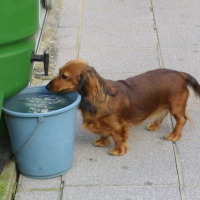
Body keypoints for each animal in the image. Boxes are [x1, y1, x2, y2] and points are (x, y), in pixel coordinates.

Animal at [46, 58, 200, 155]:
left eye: (64, 76)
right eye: (59, 72)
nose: (46, 87)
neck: (99, 97)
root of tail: (179, 73)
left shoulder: (117, 125)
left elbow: (118, 138)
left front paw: (118, 151)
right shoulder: (102, 123)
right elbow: (104, 132)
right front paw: (102, 142)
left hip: (176, 106)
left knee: (181, 120)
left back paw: (174, 135)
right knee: (163, 112)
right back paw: (154, 125)